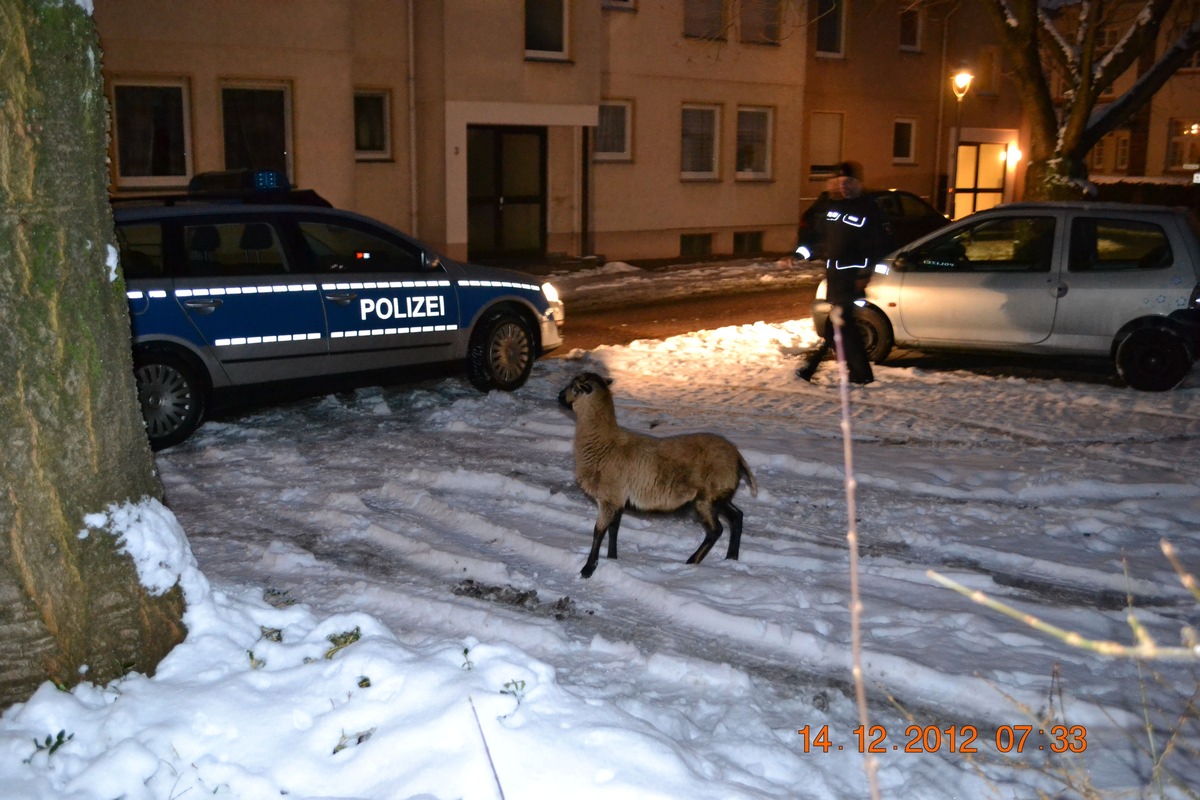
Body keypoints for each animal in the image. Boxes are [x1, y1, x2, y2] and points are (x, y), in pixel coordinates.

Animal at [554, 371, 758, 578]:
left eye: (574, 386)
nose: (559, 396)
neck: (603, 443)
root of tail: (737, 457)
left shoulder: (609, 497)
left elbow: (599, 531)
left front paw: (588, 569)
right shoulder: (617, 497)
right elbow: (613, 528)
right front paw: (612, 559)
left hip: (707, 498)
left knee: (716, 530)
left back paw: (692, 562)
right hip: (720, 495)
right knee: (736, 517)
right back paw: (731, 558)